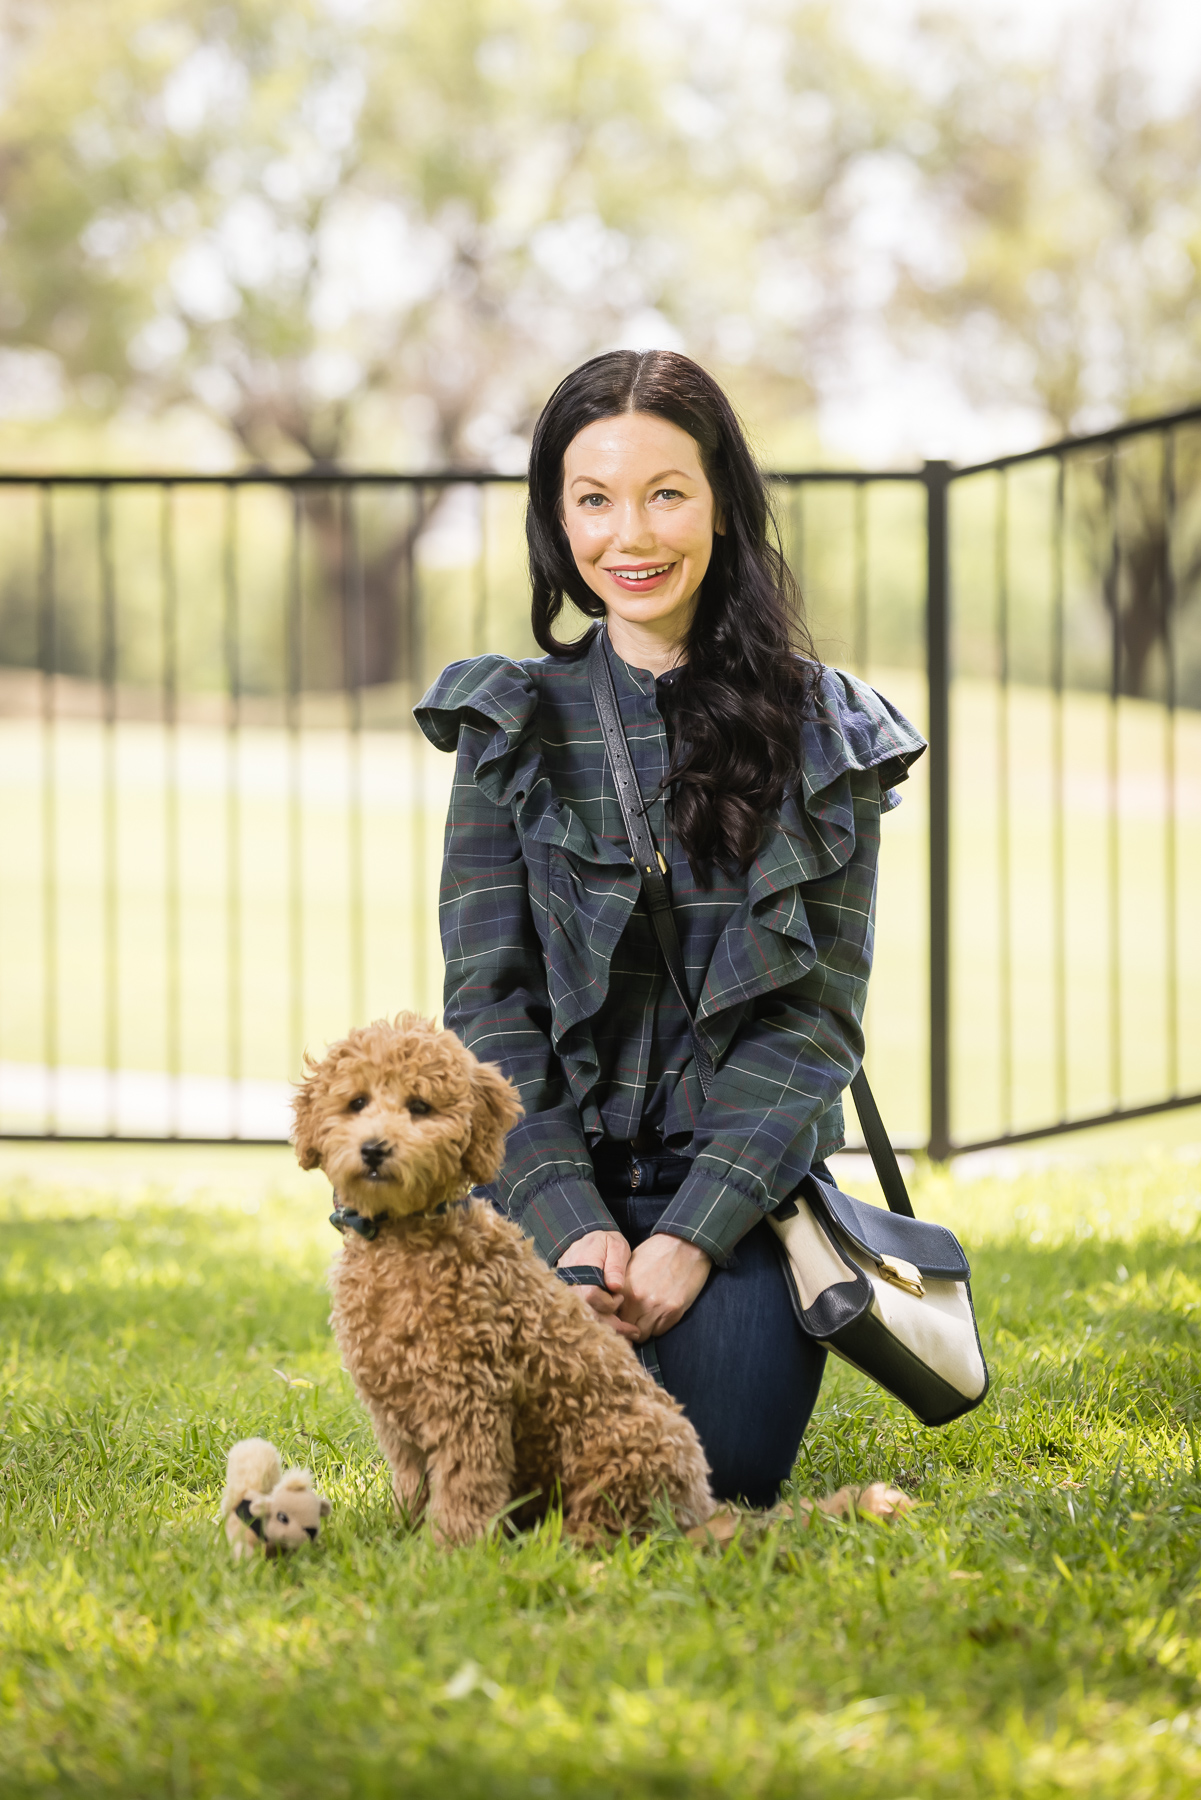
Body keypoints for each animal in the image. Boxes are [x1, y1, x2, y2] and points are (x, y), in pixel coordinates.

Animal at [293, 1015, 713, 1548]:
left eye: (419, 1107)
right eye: (357, 1103)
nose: (373, 1149)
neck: (401, 1239)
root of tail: (702, 1502)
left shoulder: (468, 1399)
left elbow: (464, 1484)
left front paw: (453, 1550)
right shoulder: (396, 1412)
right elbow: (411, 1481)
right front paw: (401, 1533)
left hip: (620, 1446)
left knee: (606, 1525)